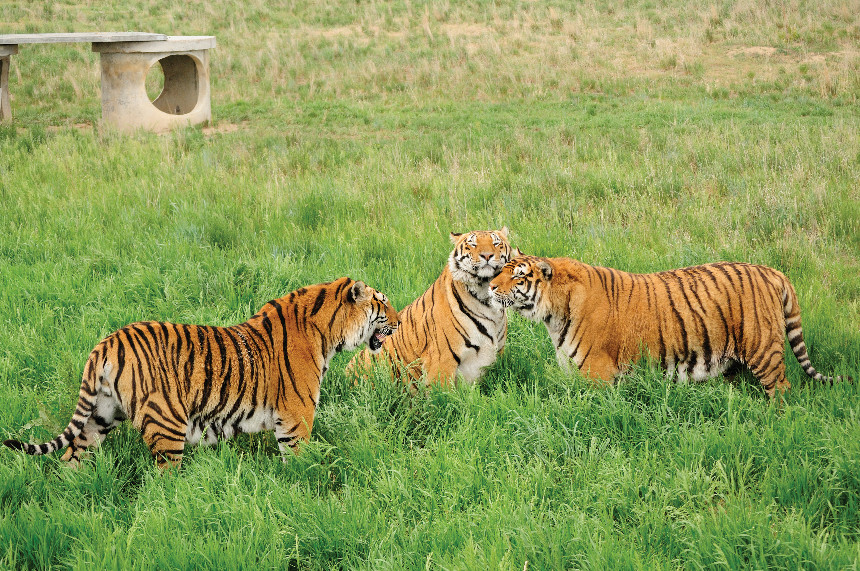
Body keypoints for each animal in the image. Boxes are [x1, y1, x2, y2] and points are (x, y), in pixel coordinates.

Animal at [2, 278, 400, 470]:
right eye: (382, 302)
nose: (398, 322)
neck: (329, 332)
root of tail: (108, 342)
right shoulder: (296, 419)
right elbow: (301, 465)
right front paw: (304, 492)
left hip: (100, 415)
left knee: (71, 457)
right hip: (166, 424)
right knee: (163, 481)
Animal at [348, 228, 510, 388]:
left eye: (496, 243)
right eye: (473, 245)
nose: (487, 255)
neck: (486, 298)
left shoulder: (498, 354)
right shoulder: (441, 360)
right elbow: (443, 393)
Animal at [488, 258, 848, 398]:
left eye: (518, 276)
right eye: (502, 269)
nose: (489, 287)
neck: (553, 316)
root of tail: (772, 271)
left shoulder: (597, 375)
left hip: (764, 350)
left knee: (782, 390)